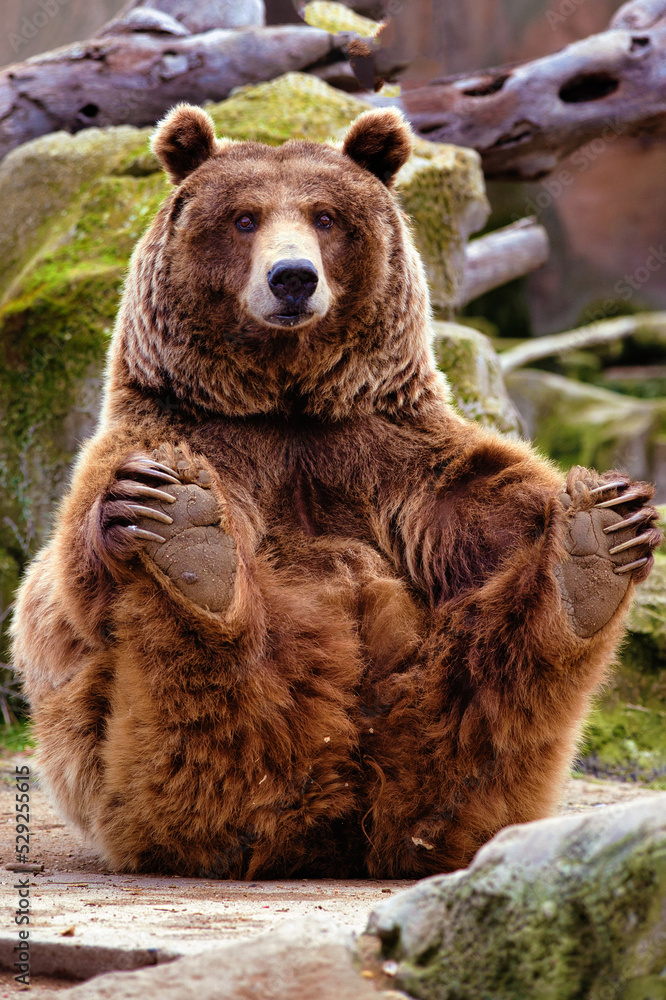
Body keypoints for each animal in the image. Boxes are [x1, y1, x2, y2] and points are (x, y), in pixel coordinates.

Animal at [10, 104, 662, 880]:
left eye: (325, 216)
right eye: (245, 218)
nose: (292, 277)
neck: (289, 405)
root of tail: (338, 822)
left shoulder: (389, 454)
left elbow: (494, 506)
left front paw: (615, 511)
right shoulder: (197, 439)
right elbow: (79, 578)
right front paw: (161, 509)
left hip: (439, 715)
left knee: (493, 689)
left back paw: (591, 558)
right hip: (136, 755)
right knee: (205, 703)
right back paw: (190, 547)